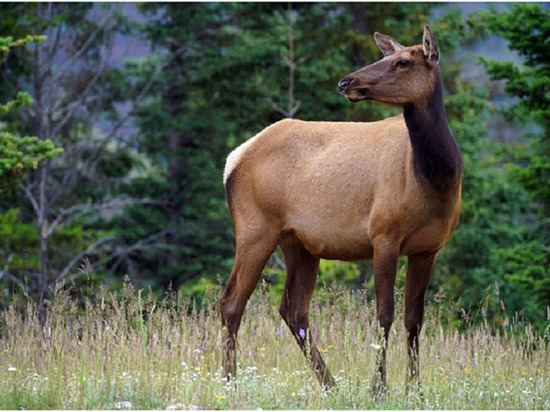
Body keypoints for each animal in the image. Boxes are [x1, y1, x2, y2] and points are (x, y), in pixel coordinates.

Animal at [220, 25, 466, 392]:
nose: (346, 82)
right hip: (255, 228)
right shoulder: (383, 235)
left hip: (299, 243)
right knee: (231, 301)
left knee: (293, 309)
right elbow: (384, 314)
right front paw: (378, 389)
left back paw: (330, 384)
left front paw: (416, 391)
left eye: (403, 61)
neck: (436, 180)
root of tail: (232, 160)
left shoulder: (428, 247)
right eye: (387, 56)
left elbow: (414, 319)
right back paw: (229, 382)